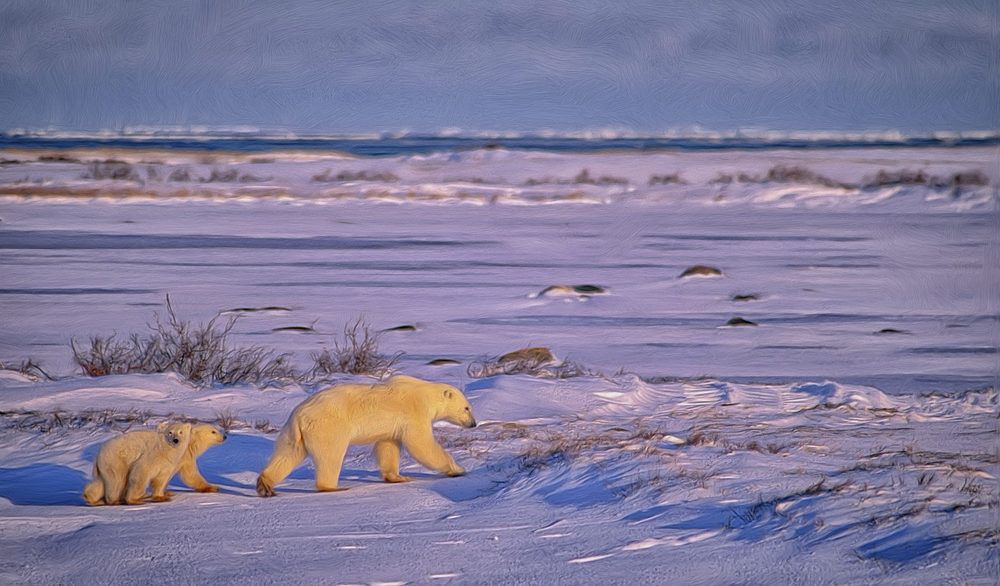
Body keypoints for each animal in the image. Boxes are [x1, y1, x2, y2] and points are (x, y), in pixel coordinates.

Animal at [256, 375, 477, 497]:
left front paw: (398, 477)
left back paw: (265, 485)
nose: (473, 424)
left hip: (293, 433)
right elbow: (421, 444)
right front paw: (458, 469)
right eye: (467, 408)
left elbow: (388, 446)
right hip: (327, 427)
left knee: (287, 454)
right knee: (330, 455)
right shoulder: (414, 412)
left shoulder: (392, 426)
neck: (425, 393)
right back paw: (333, 487)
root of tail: (299, 415)